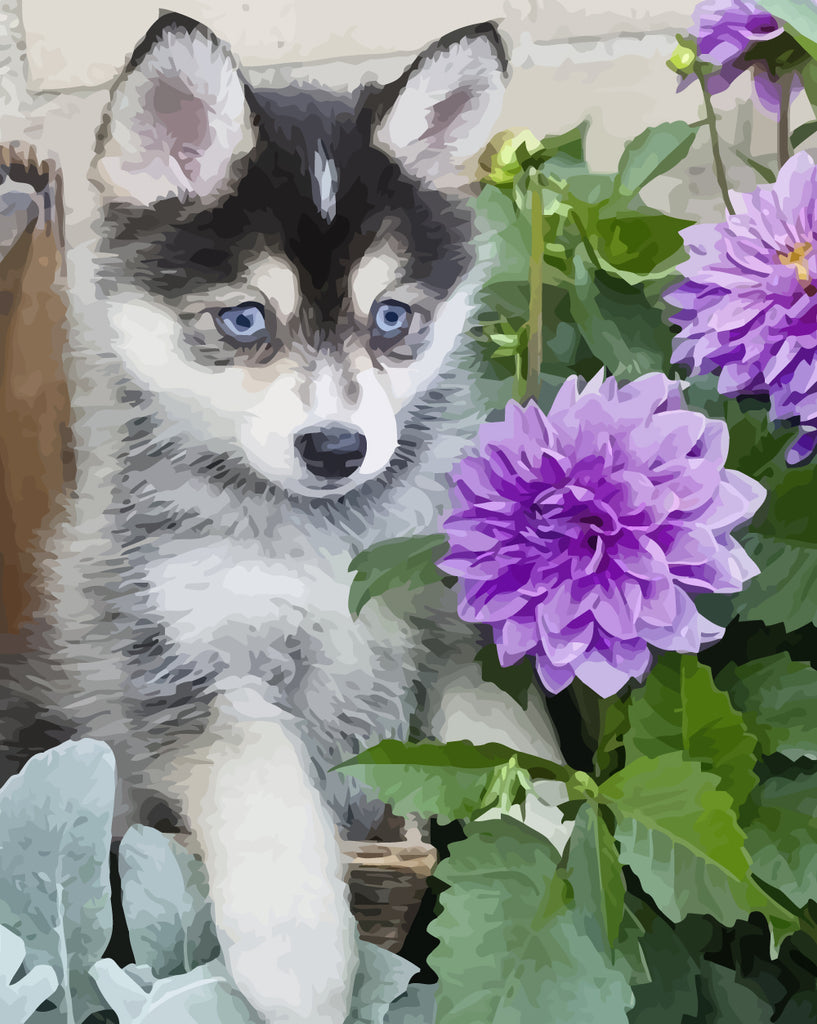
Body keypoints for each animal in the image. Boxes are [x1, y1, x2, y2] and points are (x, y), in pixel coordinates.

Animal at [4, 16, 565, 1024]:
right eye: (242, 320)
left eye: (393, 317)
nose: (336, 447)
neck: (323, 539)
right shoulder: (189, 665)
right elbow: (264, 796)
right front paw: (304, 968)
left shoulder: (454, 621)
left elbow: (508, 732)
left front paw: (552, 824)